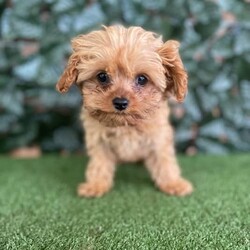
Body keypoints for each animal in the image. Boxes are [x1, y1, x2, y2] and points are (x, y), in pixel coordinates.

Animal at [57, 25, 193, 197]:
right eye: (102, 76)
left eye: (142, 79)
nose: (120, 103)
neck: (125, 125)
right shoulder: (98, 139)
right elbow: (99, 163)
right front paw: (95, 185)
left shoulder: (159, 136)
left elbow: (164, 160)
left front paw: (173, 183)